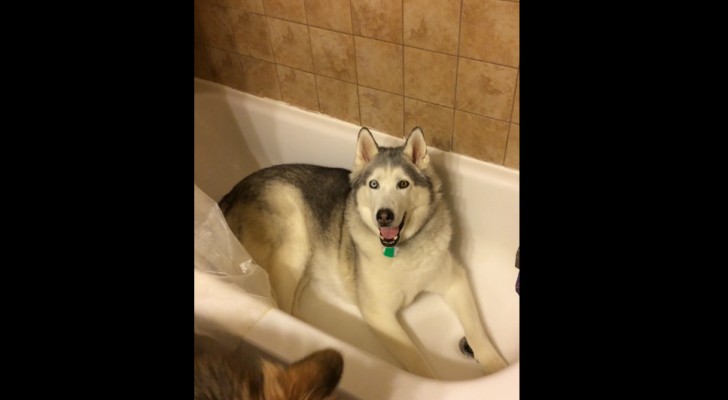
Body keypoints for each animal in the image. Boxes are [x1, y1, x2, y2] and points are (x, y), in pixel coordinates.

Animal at [219, 127, 510, 378]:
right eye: (373, 184)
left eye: (403, 184)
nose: (384, 216)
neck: (401, 252)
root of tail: (232, 191)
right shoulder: (378, 312)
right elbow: (415, 357)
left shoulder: (455, 281)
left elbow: (476, 331)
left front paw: (496, 367)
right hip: (294, 241)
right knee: (280, 303)